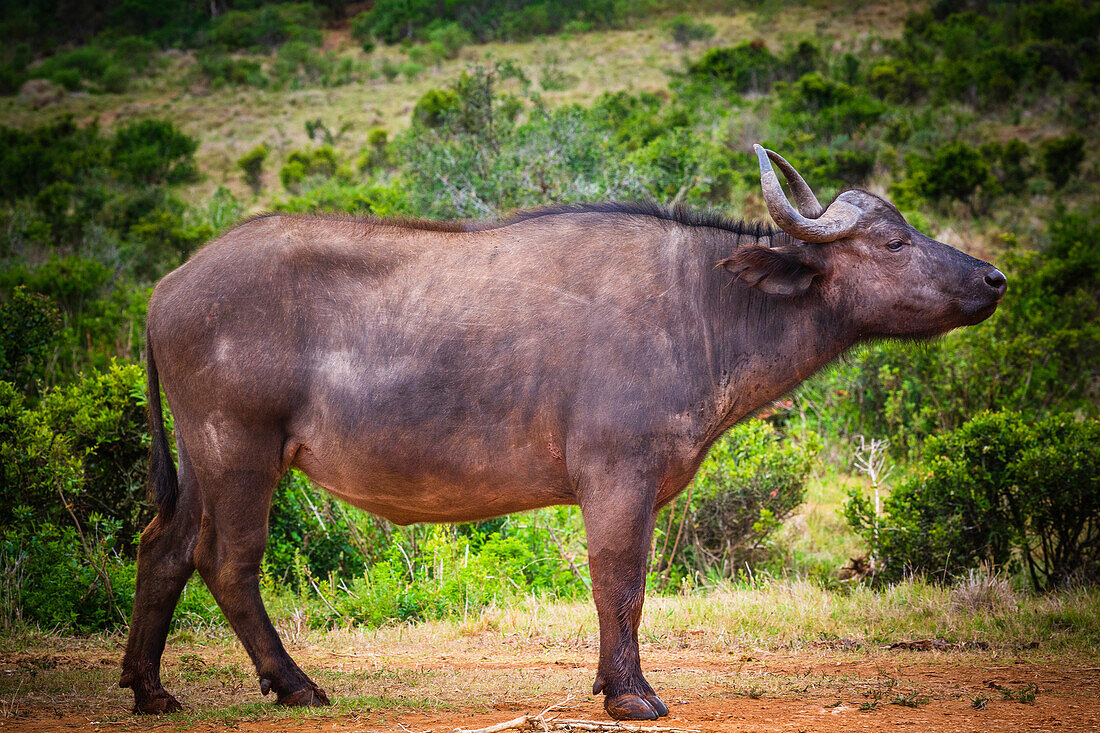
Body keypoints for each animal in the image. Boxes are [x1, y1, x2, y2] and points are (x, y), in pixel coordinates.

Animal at [120, 145, 1007, 717]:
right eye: (893, 242)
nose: (995, 278)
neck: (705, 304)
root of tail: (168, 285)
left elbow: (624, 586)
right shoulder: (618, 477)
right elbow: (621, 582)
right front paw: (630, 692)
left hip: (205, 460)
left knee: (162, 548)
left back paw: (150, 687)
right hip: (240, 451)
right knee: (228, 564)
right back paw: (294, 683)